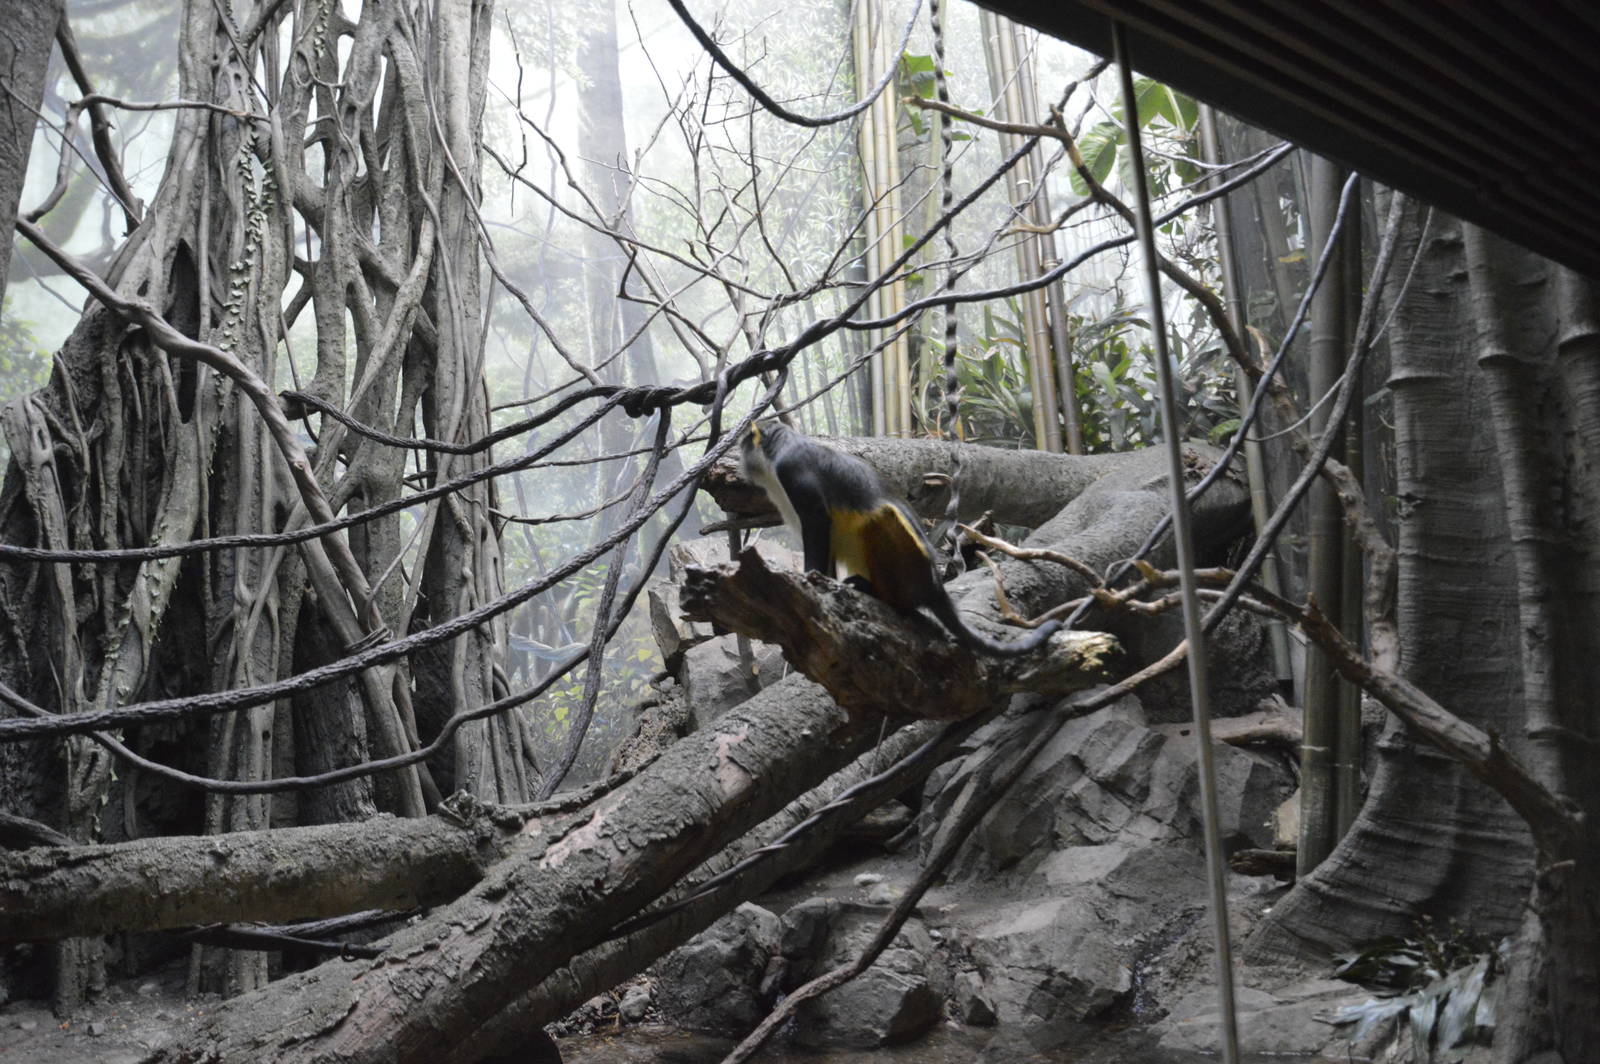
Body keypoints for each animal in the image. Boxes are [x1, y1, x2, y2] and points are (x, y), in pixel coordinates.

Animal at [739, 420, 1060, 656]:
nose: (741, 459)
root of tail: (934, 585)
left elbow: (819, 523)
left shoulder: (793, 472)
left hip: (908, 565)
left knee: (880, 519)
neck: (779, 448)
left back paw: (878, 594)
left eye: (744, 443)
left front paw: (810, 578)